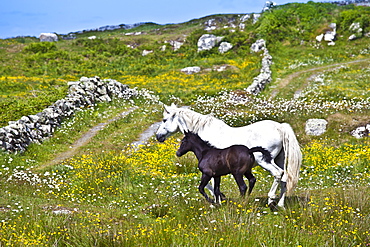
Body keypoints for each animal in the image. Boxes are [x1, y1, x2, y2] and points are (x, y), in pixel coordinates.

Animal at [155, 103, 302, 208]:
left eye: (164, 119)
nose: (158, 136)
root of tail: (281, 127)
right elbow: (213, 186)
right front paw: (220, 199)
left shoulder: (211, 170)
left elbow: (210, 186)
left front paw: (217, 202)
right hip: (279, 159)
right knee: (284, 178)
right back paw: (280, 205)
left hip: (264, 161)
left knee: (277, 174)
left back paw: (271, 200)